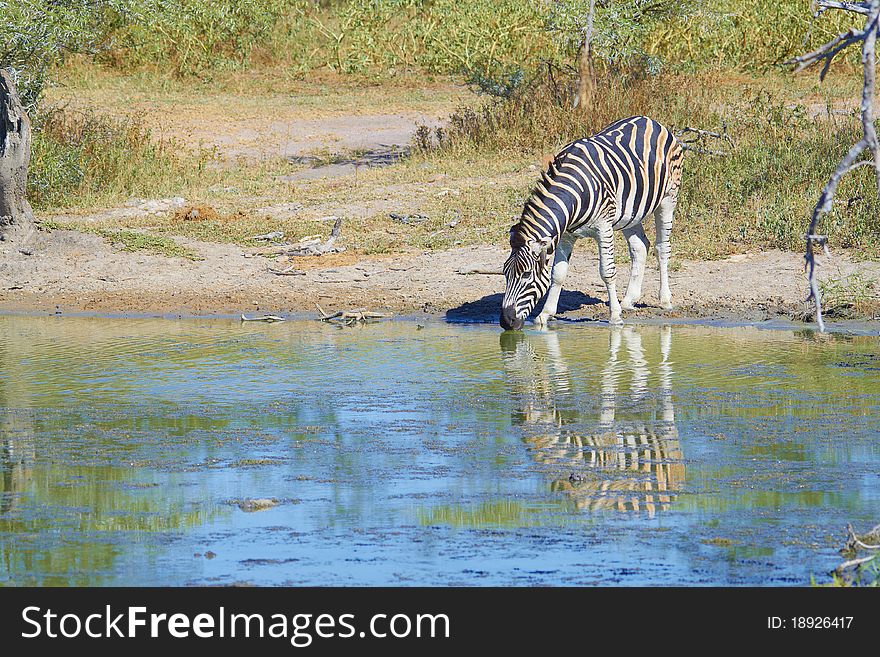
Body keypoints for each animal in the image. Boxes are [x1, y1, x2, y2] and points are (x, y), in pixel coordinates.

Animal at [502, 113, 680, 330]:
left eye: (526, 275)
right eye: (505, 273)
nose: (505, 321)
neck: (573, 193)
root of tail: (650, 121)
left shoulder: (604, 227)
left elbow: (607, 271)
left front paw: (615, 316)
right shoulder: (565, 234)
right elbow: (557, 274)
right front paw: (545, 314)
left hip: (668, 197)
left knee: (661, 247)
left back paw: (665, 301)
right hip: (630, 212)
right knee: (640, 247)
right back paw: (628, 301)